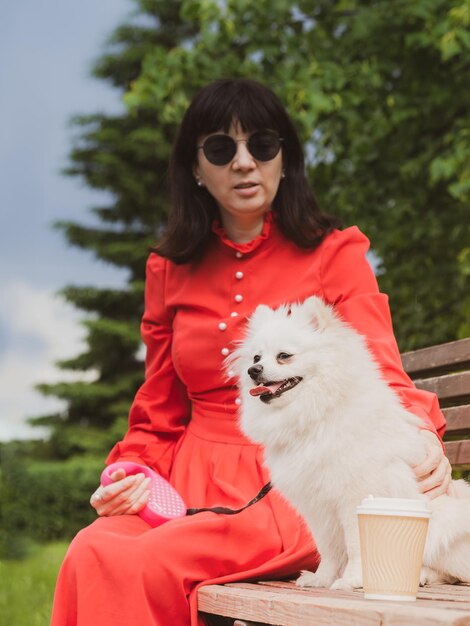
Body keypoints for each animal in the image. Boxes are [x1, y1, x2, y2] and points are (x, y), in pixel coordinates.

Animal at [233, 294, 470, 588]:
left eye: (284, 356)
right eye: (256, 357)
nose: (253, 370)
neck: (318, 416)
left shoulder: (356, 496)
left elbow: (356, 545)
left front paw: (352, 579)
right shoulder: (318, 508)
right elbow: (329, 549)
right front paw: (322, 578)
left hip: (440, 524)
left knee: (452, 571)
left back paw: (422, 575)